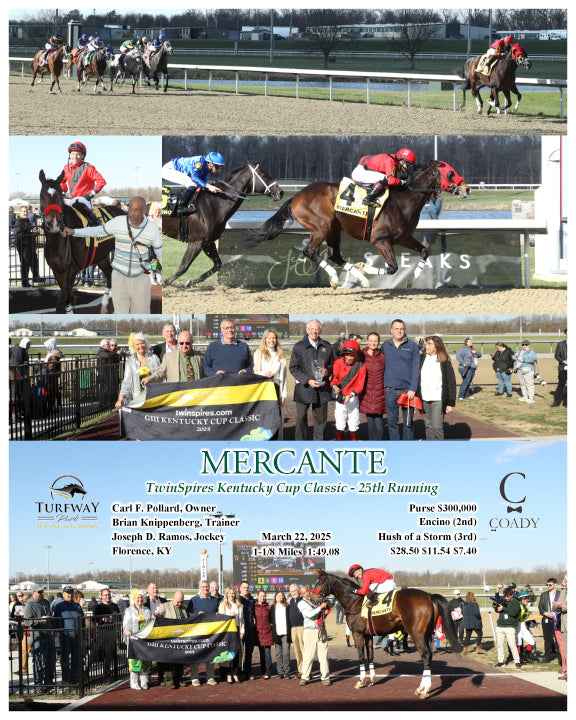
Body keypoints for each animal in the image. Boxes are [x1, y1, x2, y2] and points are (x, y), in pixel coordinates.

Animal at [39, 170, 125, 314]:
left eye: (60, 196)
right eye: (42, 196)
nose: (53, 224)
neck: (58, 240)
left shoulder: (72, 269)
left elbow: (67, 295)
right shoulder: (57, 270)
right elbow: (65, 297)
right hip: (101, 256)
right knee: (109, 273)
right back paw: (105, 305)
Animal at [244, 160, 470, 290]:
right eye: (451, 173)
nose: (467, 189)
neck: (404, 200)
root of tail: (296, 196)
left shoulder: (402, 237)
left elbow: (423, 252)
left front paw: (412, 281)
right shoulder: (380, 240)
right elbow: (392, 268)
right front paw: (366, 266)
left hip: (334, 229)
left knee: (334, 254)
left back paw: (361, 279)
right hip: (321, 226)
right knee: (310, 251)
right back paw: (337, 279)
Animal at [313, 570, 460, 698]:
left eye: (320, 582)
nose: (313, 598)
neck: (354, 601)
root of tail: (429, 596)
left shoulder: (357, 634)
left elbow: (361, 657)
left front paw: (360, 681)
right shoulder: (368, 635)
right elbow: (370, 656)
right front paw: (371, 680)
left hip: (416, 634)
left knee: (426, 655)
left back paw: (424, 690)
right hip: (427, 634)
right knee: (428, 657)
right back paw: (422, 688)